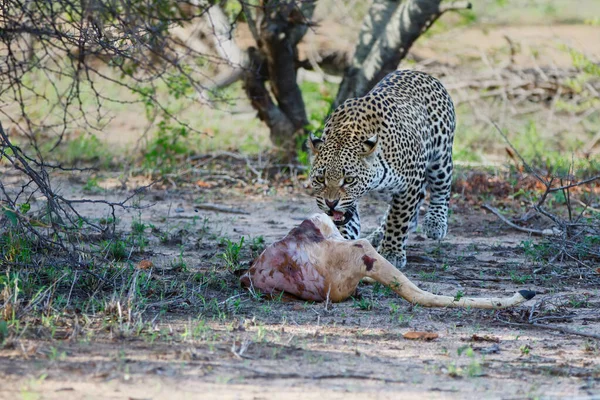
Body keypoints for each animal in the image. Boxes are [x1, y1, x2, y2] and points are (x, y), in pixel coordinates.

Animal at [310, 69, 454, 268]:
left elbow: (398, 218)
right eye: (320, 179)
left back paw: (435, 223)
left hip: (441, 155)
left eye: (349, 180)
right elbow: (346, 224)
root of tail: (421, 72)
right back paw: (377, 235)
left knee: (442, 186)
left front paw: (391, 252)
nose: (331, 203)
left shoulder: (411, 182)